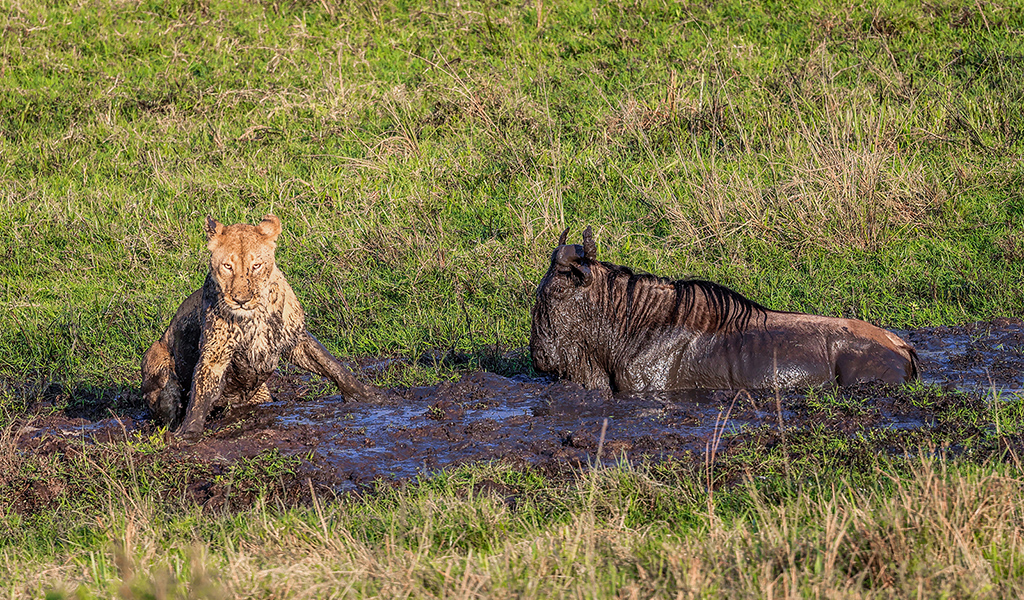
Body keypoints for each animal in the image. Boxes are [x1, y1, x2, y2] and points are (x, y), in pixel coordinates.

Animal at [141, 215, 380, 434]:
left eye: (256, 266)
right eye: (227, 266)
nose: (241, 300)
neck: (255, 315)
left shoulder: (296, 339)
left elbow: (333, 366)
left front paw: (369, 396)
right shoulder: (215, 353)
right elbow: (200, 393)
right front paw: (188, 433)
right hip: (156, 362)